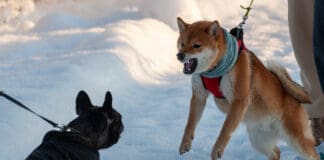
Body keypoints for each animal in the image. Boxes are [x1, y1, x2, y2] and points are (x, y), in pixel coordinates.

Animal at [176, 16, 318, 159]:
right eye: (182, 44)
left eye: (196, 45)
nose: (179, 55)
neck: (213, 70)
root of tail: (297, 101)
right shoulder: (199, 96)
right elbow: (190, 123)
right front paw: (185, 143)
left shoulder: (239, 99)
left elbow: (225, 129)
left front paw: (217, 149)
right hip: (258, 140)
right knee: (276, 152)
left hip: (297, 140)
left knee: (313, 155)